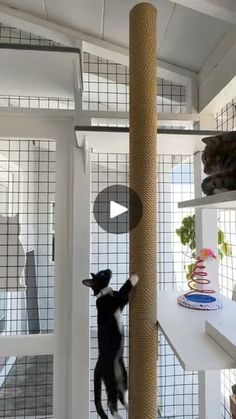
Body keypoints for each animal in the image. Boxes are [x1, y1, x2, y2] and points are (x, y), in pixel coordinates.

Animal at [82, 270, 138, 419]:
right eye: (102, 274)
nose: (109, 270)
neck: (103, 292)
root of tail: (98, 363)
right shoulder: (118, 300)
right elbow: (125, 288)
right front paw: (134, 277)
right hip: (111, 380)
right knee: (111, 405)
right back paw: (120, 416)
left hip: (122, 376)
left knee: (121, 396)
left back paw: (131, 409)